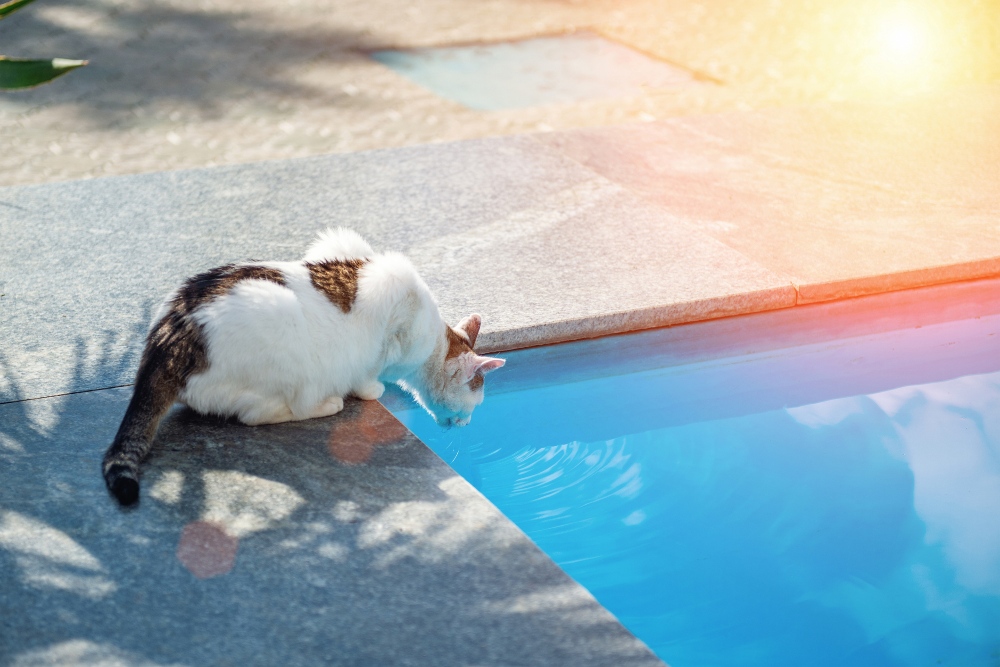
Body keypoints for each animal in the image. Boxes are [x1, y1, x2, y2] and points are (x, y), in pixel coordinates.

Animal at [104, 230, 504, 506]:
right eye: (474, 403)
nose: (467, 424)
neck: (434, 343)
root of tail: (168, 338)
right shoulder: (393, 310)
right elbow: (370, 366)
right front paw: (371, 388)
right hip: (280, 328)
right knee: (262, 413)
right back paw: (327, 403)